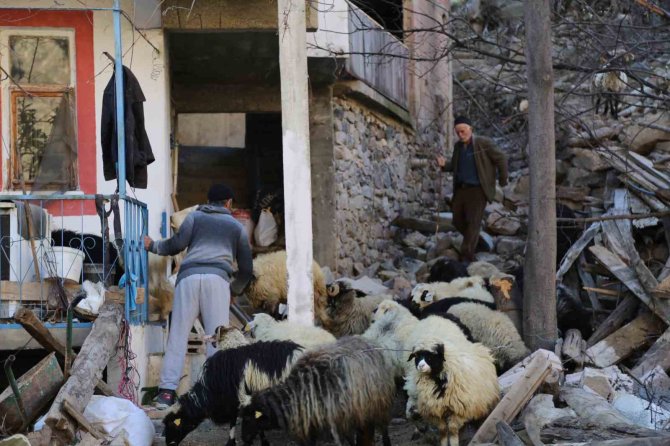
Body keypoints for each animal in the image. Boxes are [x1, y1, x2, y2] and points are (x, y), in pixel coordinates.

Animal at [242, 338, 400, 446]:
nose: (244, 440)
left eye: (249, 418)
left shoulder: (340, 419)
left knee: (383, 429)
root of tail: (369, 342)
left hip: (380, 404)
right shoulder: (313, 424)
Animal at [402, 316, 502, 446]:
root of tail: (434, 317)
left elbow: (453, 431)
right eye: (417, 356)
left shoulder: (458, 410)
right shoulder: (437, 411)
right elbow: (443, 431)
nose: (420, 366)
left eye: (432, 356)